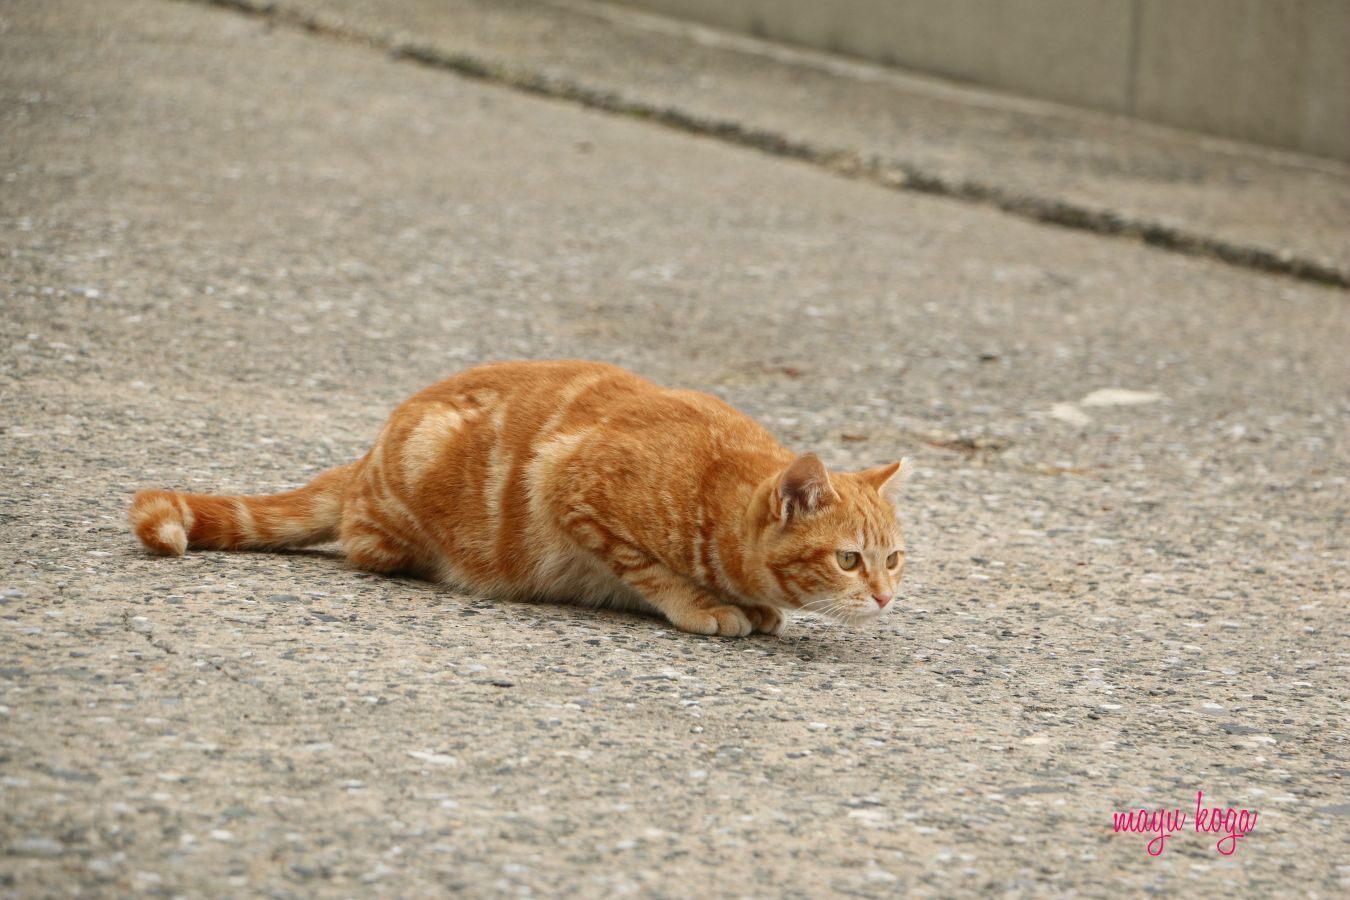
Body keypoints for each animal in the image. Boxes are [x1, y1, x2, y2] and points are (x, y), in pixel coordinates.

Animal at [128, 356, 907, 634]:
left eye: (894, 559)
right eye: (848, 560)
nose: (884, 597)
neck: (715, 488)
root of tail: (367, 455)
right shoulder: (573, 488)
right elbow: (652, 572)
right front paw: (703, 605)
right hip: (398, 517)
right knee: (362, 543)